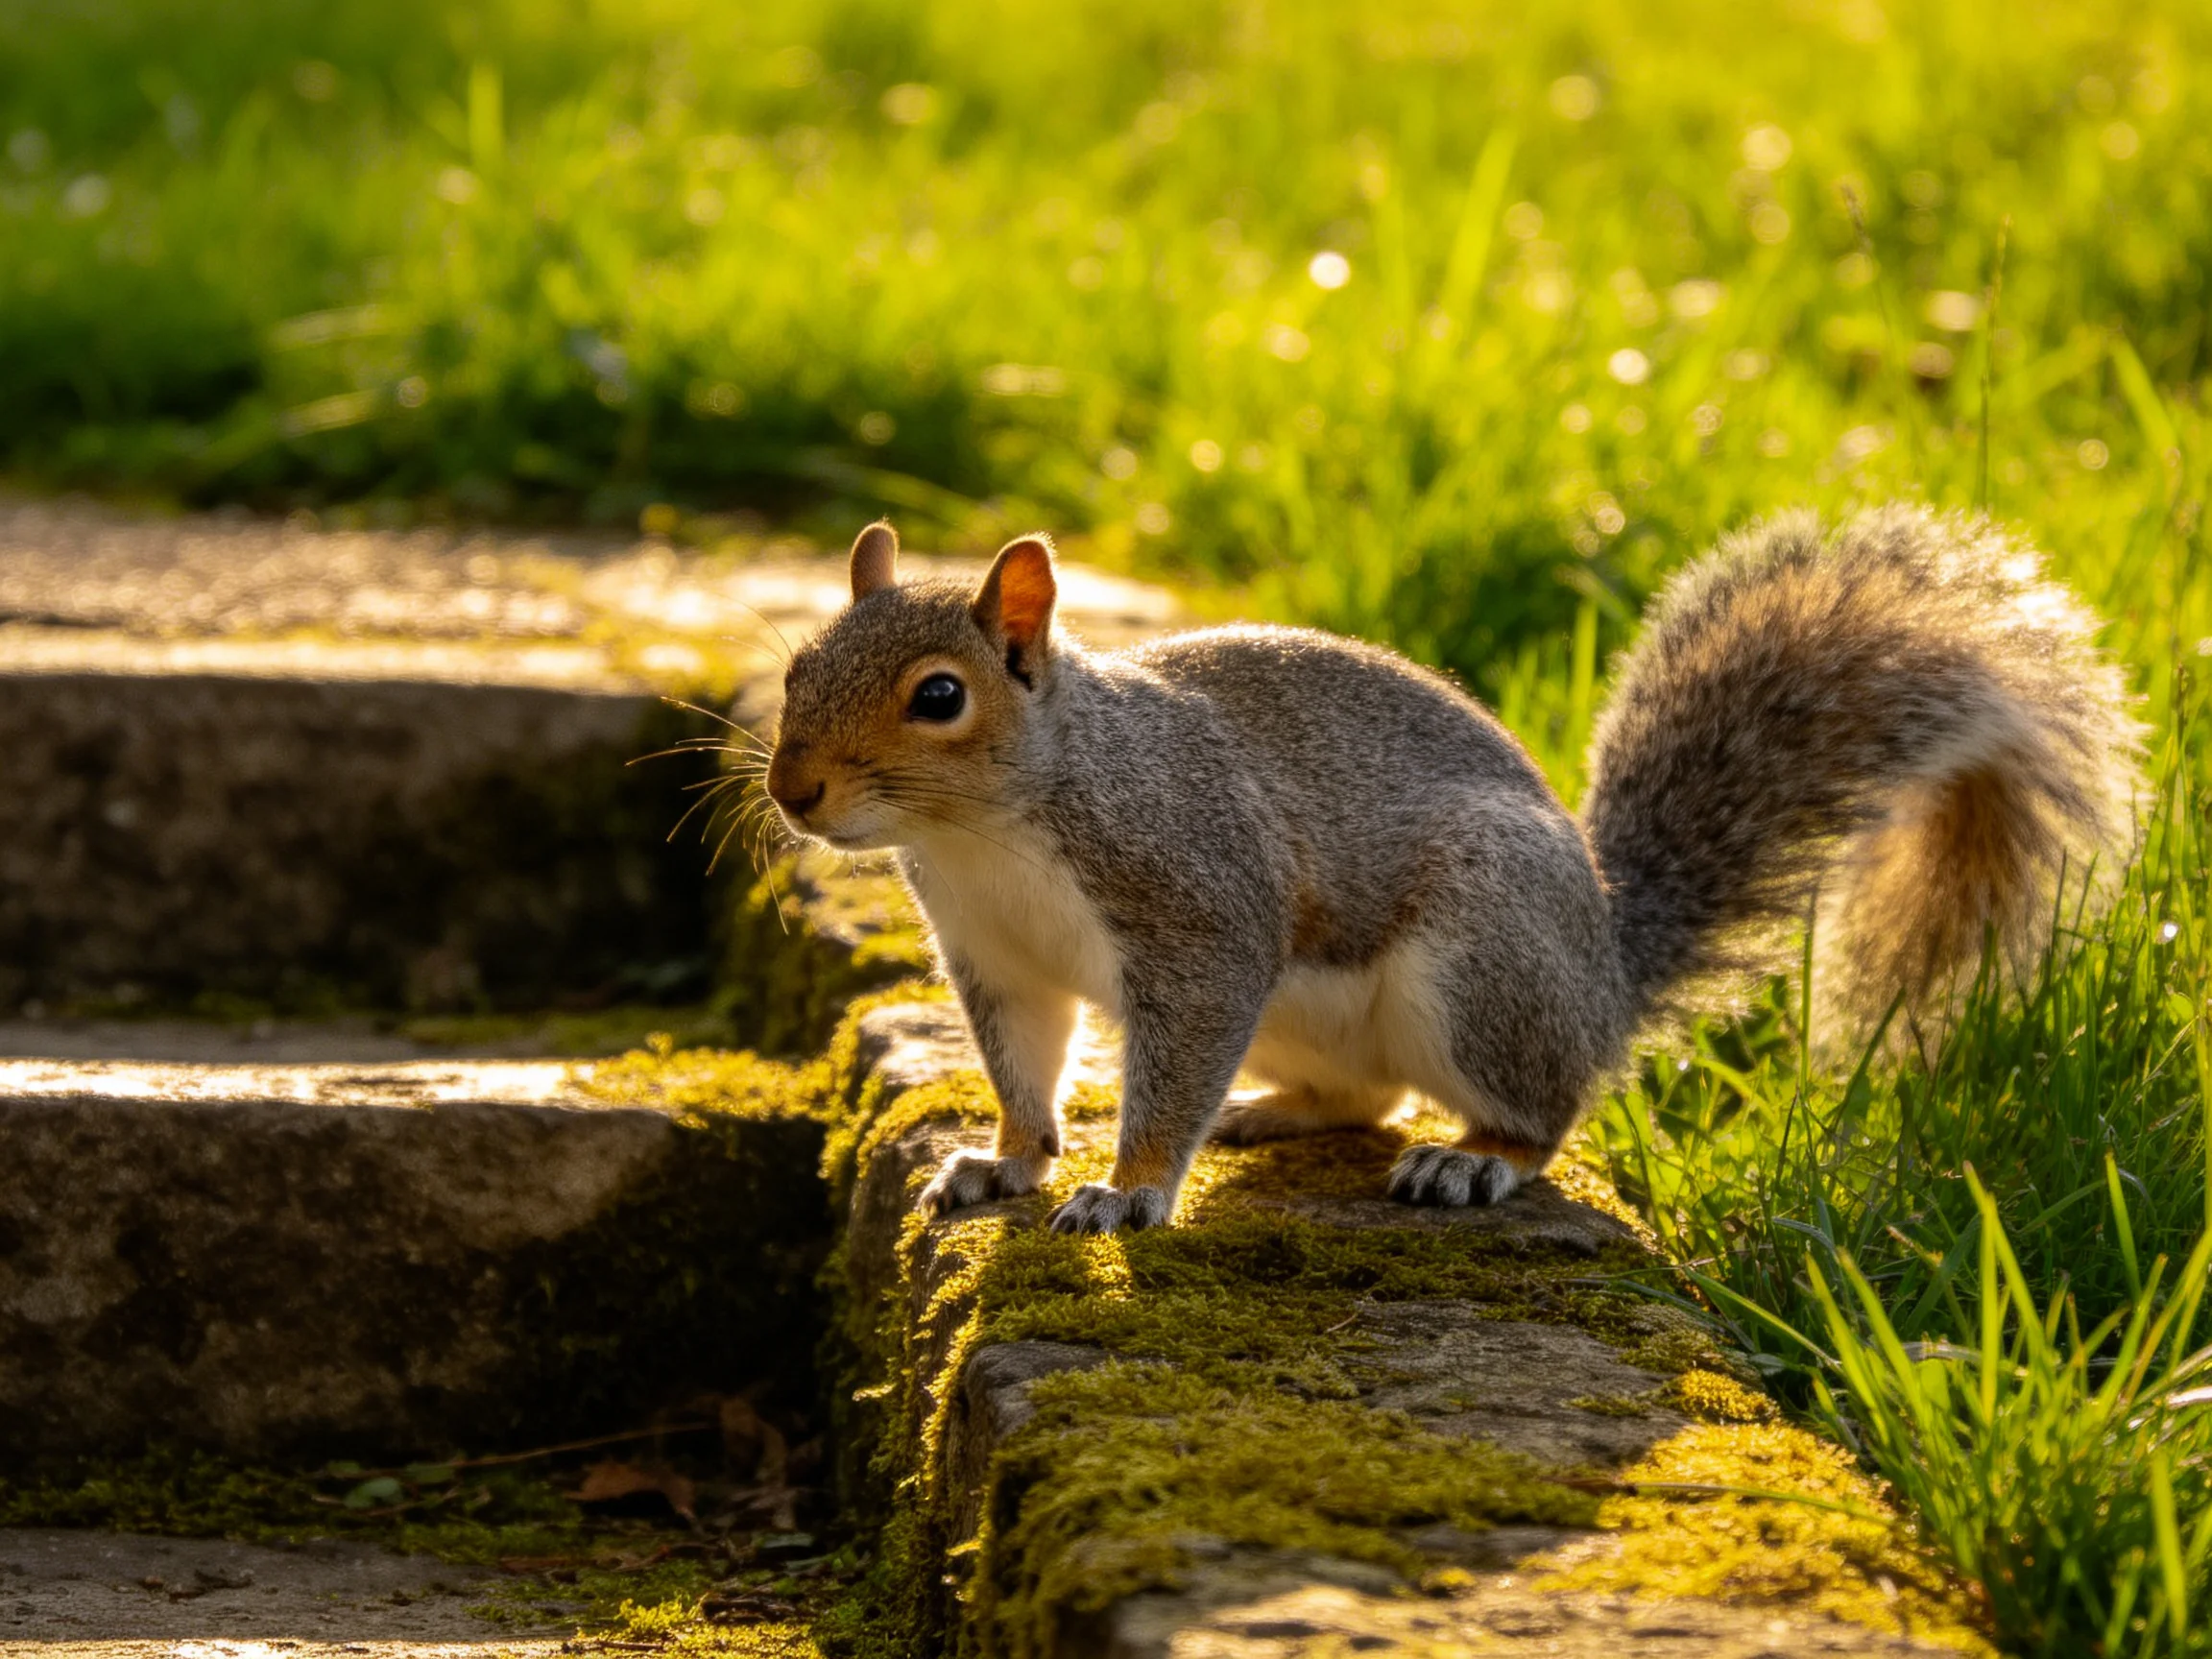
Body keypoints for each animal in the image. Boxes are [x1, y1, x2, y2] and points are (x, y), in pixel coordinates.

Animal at [764, 506, 2140, 1234]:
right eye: (795, 667)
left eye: (939, 697)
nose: (792, 791)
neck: (988, 834)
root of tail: (1604, 974)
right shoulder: (995, 957)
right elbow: (1023, 1066)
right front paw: (1008, 1159)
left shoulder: (1198, 908)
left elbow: (1176, 1056)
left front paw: (1130, 1189)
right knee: (1366, 1095)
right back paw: (1273, 1112)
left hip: (1483, 961)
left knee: (1539, 1111)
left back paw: (1471, 1158)